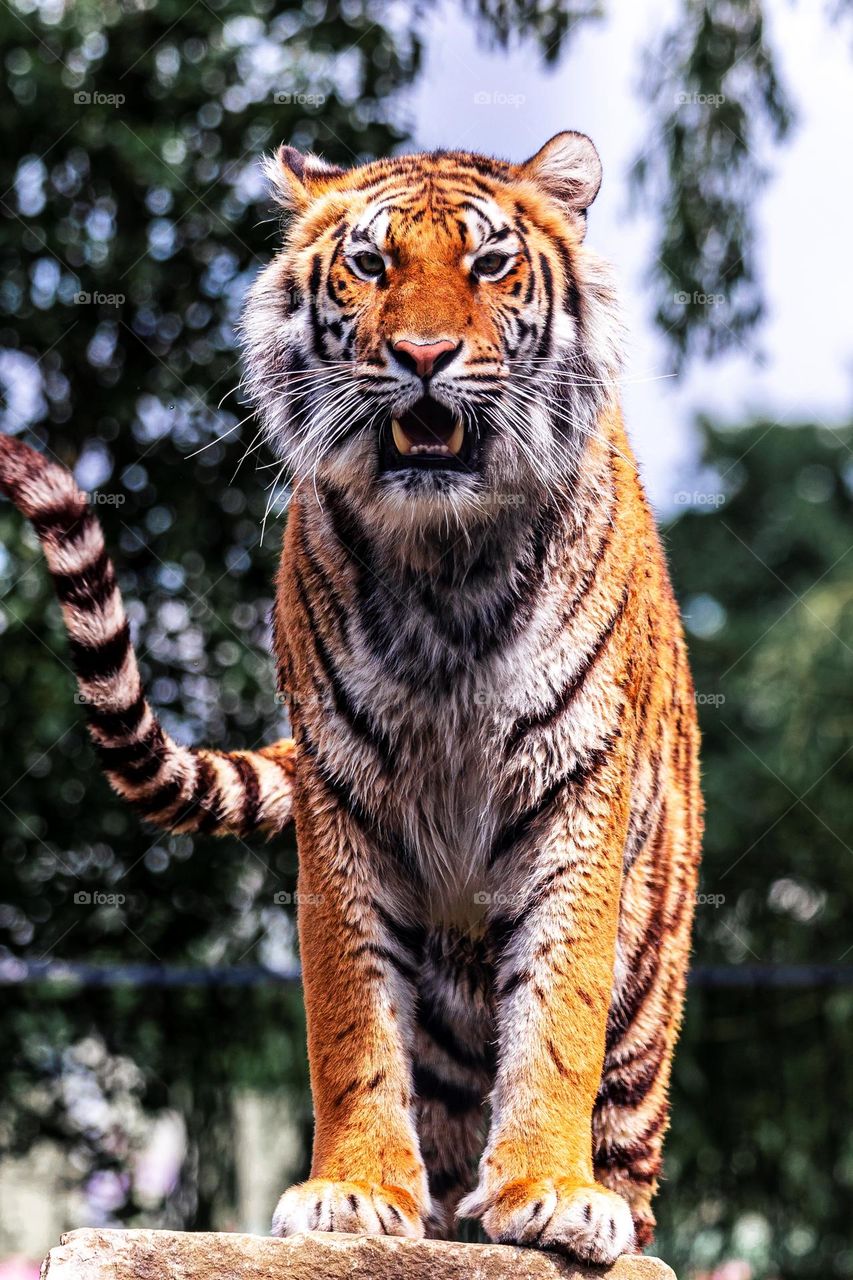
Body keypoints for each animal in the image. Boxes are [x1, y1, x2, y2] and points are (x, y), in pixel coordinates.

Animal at [0, 130, 701, 1264]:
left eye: (489, 265)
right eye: (371, 266)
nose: (422, 355)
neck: (450, 560)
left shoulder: (576, 790)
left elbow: (558, 1011)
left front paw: (551, 1190)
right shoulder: (346, 797)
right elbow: (350, 1019)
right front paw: (354, 1192)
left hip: (649, 997)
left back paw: (602, 1212)